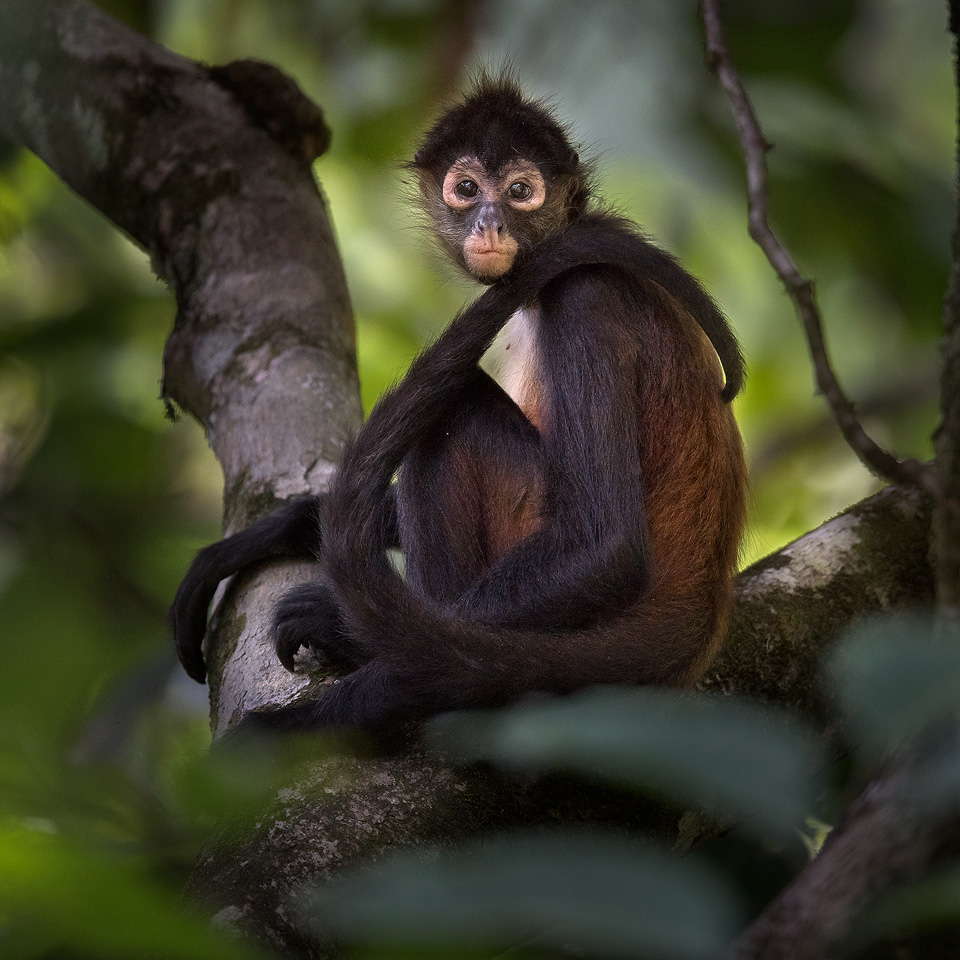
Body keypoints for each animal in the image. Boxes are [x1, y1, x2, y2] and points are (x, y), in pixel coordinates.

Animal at [170, 73, 748, 732]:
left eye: (520, 192)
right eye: (467, 190)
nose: (489, 225)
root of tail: (693, 624)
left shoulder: (586, 296)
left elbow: (609, 550)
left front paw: (344, 634)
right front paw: (271, 532)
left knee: (457, 408)